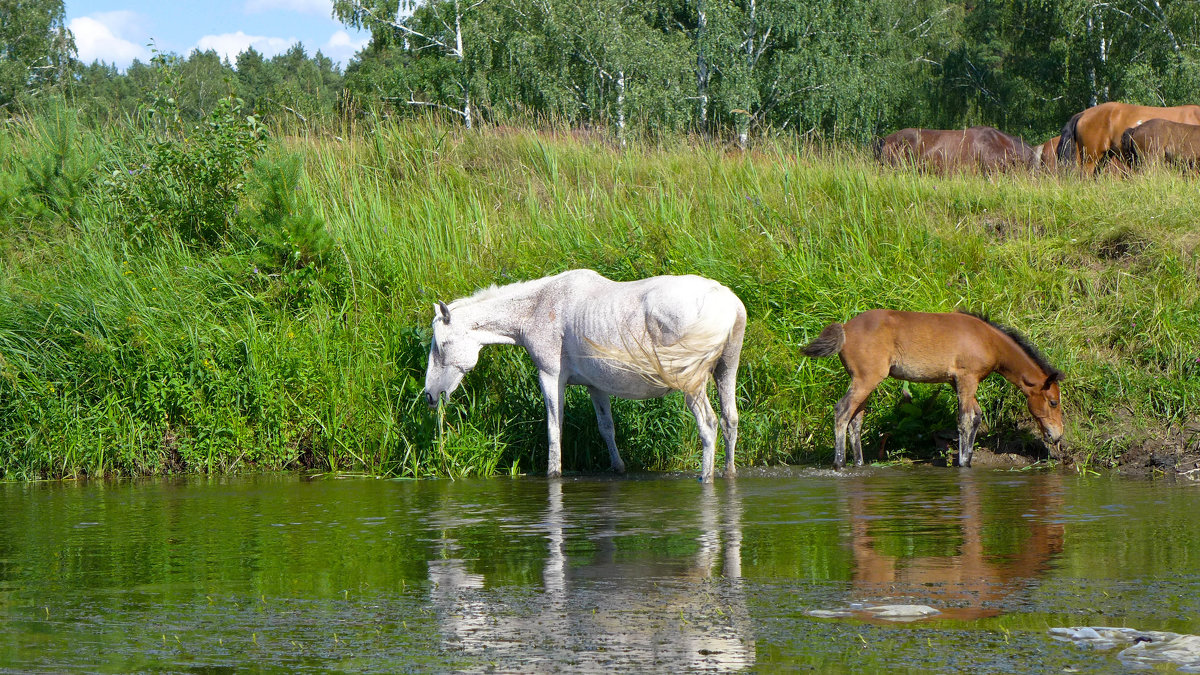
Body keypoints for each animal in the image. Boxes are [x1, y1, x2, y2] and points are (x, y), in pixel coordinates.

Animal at [422, 265, 739, 480]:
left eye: (441, 345)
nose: (430, 396)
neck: (537, 308)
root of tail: (728, 302)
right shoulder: (595, 386)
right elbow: (606, 428)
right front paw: (618, 468)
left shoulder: (550, 376)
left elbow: (554, 428)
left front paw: (553, 473)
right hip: (726, 372)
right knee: (729, 421)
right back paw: (729, 472)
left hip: (693, 383)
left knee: (709, 424)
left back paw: (705, 477)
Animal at [801, 309, 1065, 468]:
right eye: (1053, 402)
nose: (1057, 435)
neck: (988, 340)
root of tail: (845, 328)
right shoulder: (967, 378)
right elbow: (965, 419)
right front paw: (963, 463)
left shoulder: (959, 382)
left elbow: (976, 416)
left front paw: (968, 457)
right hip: (866, 380)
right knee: (842, 411)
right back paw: (839, 464)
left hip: (864, 381)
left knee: (855, 420)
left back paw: (858, 463)